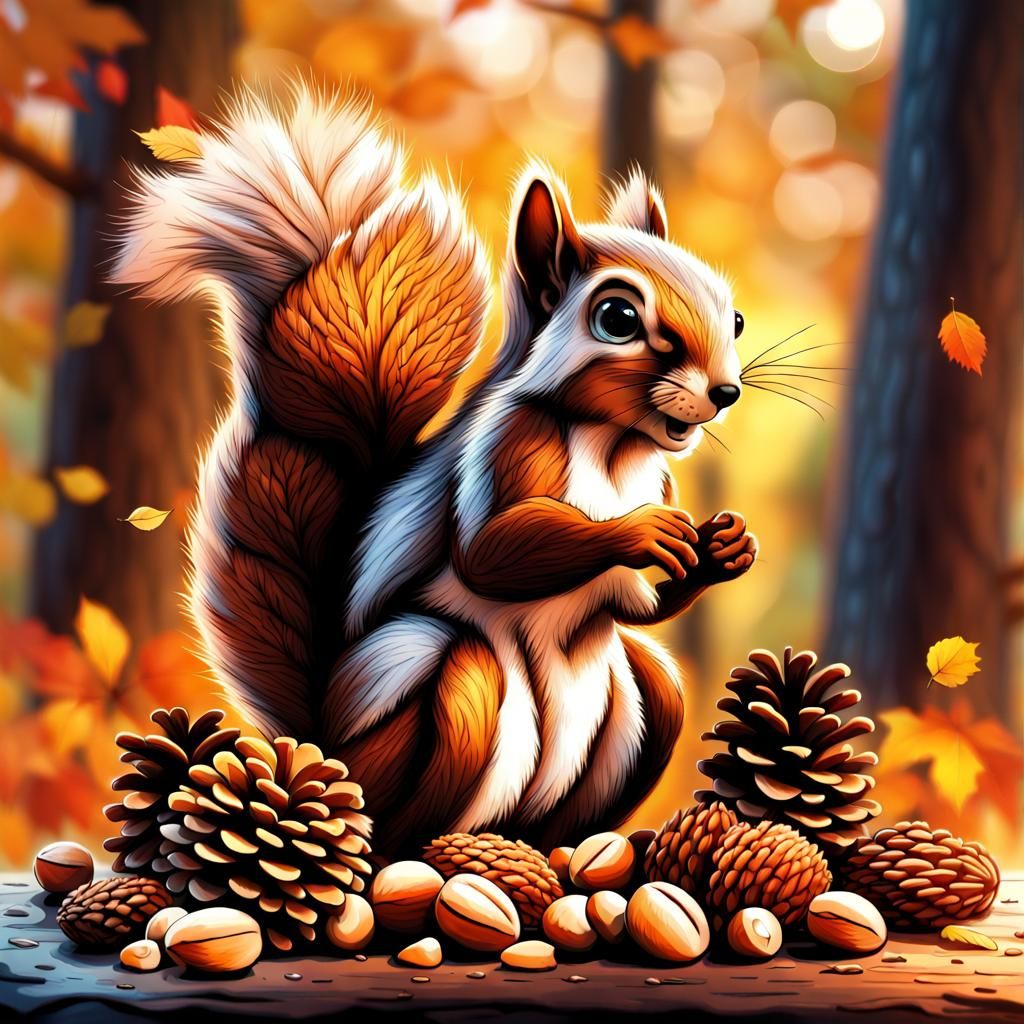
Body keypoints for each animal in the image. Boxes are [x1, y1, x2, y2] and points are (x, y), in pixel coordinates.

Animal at [112, 85, 756, 854]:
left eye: (735, 317)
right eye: (618, 318)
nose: (725, 392)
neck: (614, 445)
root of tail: (320, 746)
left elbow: (641, 607)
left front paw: (724, 550)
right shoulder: (508, 445)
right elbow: (490, 553)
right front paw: (646, 530)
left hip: (646, 700)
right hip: (439, 682)